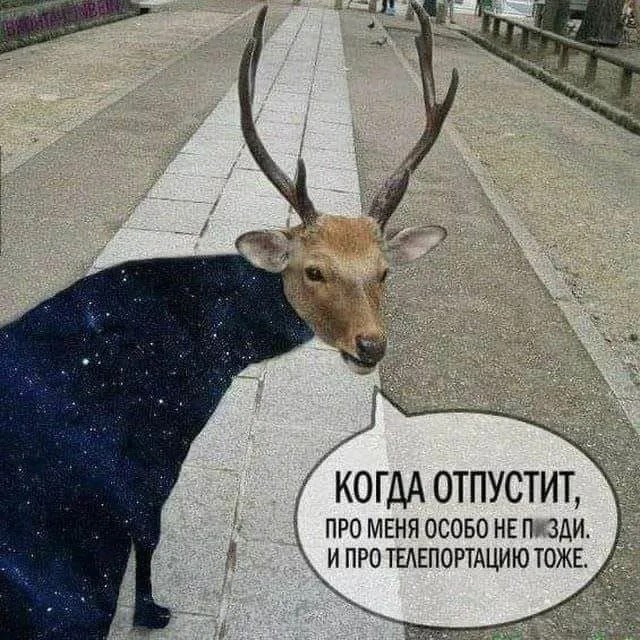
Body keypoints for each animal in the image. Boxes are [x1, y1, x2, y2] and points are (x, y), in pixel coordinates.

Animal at [0, 1, 457, 637]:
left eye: (384, 271)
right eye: (313, 271)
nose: (371, 347)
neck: (212, 349)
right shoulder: (157, 430)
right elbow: (147, 524)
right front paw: (150, 609)